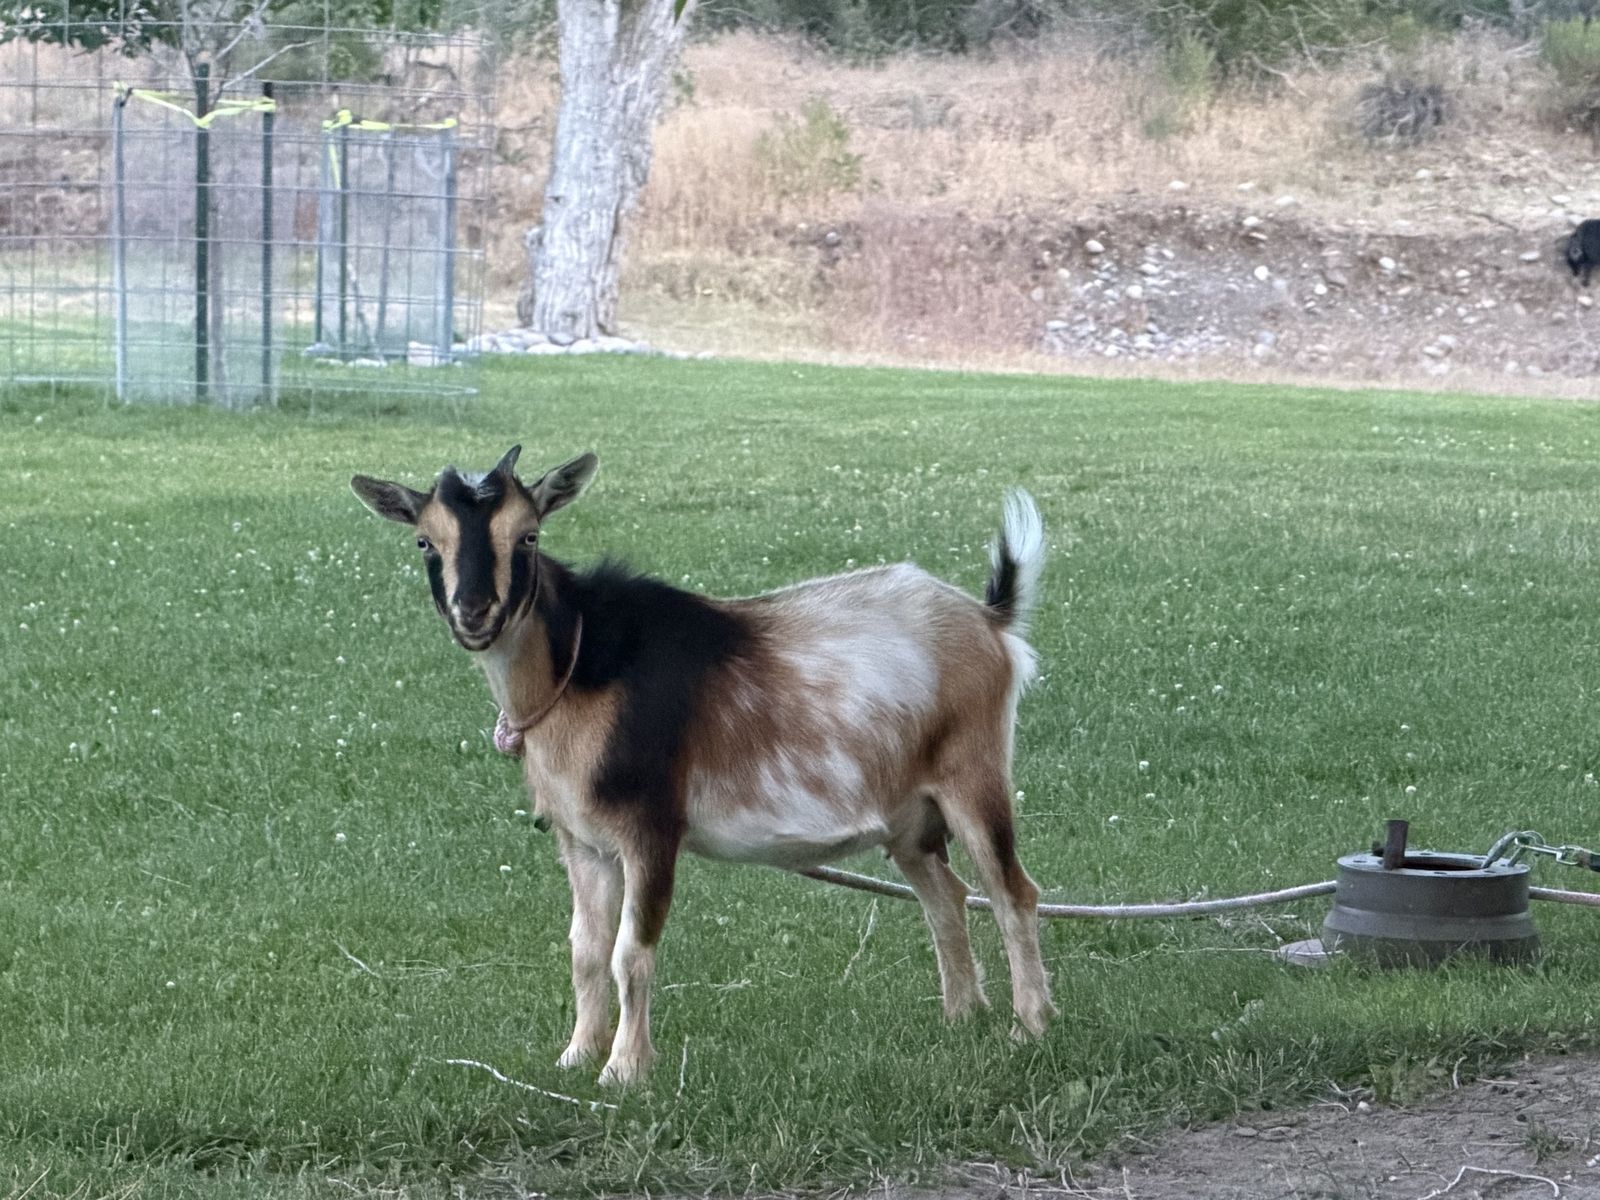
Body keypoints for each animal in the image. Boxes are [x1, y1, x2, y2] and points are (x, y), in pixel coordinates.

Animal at [351, 447, 1055, 1085]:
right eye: (424, 540)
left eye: (528, 535)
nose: (474, 613)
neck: (579, 671)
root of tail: (990, 620)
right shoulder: (584, 841)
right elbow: (585, 950)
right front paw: (576, 1056)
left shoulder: (651, 828)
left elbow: (631, 951)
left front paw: (625, 1071)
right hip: (910, 816)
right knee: (946, 896)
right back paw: (961, 1018)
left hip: (972, 773)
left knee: (1012, 892)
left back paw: (1029, 1028)